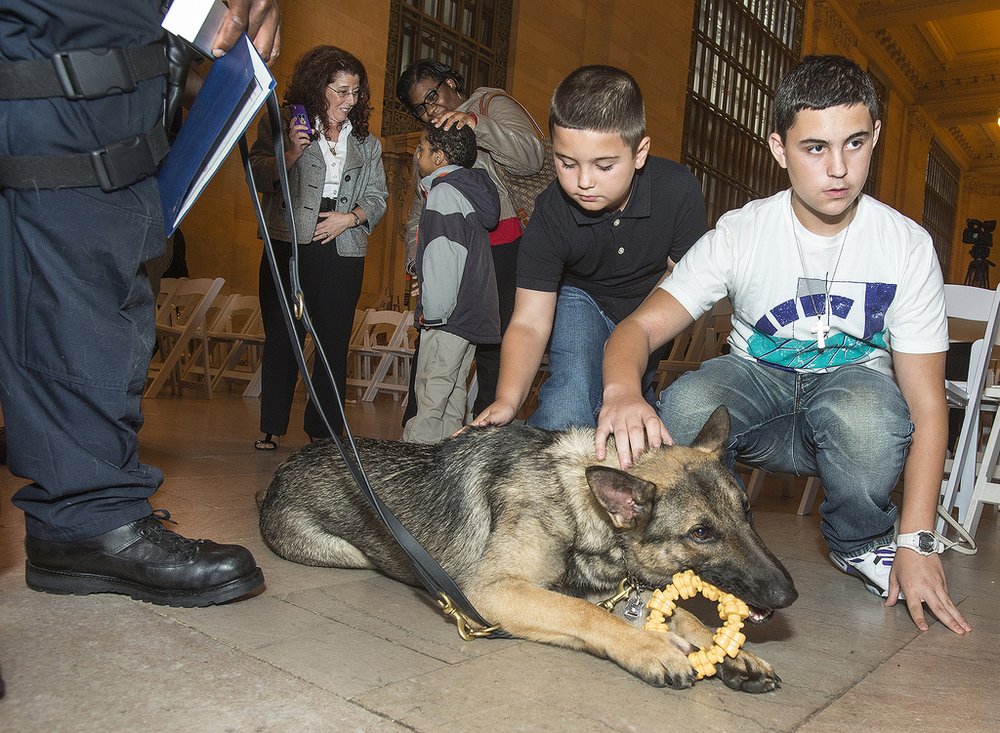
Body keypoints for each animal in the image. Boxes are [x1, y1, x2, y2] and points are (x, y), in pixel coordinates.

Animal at [258, 406, 796, 692]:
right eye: (701, 533)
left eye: (747, 511)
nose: (788, 595)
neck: (577, 502)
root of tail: (277, 477)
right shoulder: (491, 593)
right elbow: (585, 613)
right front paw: (648, 647)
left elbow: (677, 613)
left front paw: (727, 650)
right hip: (347, 553)